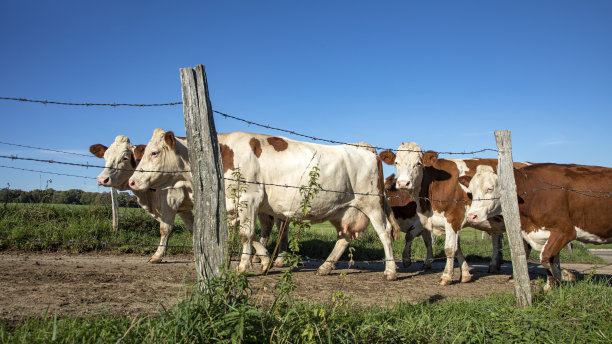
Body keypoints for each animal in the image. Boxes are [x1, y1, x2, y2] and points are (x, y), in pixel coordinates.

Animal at [88, 135, 192, 264]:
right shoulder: (184, 209)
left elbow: (165, 228)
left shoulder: (172, 200)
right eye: (105, 157)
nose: (102, 179)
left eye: (125, 158)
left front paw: (157, 255)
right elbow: (193, 228)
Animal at [128, 129, 402, 280]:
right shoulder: (236, 205)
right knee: (344, 237)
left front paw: (244, 266)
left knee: (385, 233)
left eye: (154, 152)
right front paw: (263, 261)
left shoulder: (248, 198)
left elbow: (247, 234)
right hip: (342, 209)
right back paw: (325, 268)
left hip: (372, 203)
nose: (131, 180)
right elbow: (247, 236)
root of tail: (365, 148)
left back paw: (390, 271)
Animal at [378, 142, 524, 284]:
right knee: (498, 239)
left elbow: (447, 248)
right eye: (396, 162)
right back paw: (496, 265)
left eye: (418, 163)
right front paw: (465, 274)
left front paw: (445, 276)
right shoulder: (433, 221)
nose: (403, 183)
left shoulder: (451, 218)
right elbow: (451, 246)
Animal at [464, 163, 612, 288]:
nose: (471, 216)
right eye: (471, 192)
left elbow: (545, 258)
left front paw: (566, 275)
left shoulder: (565, 231)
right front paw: (550, 288)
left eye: (490, 188)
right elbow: (551, 260)